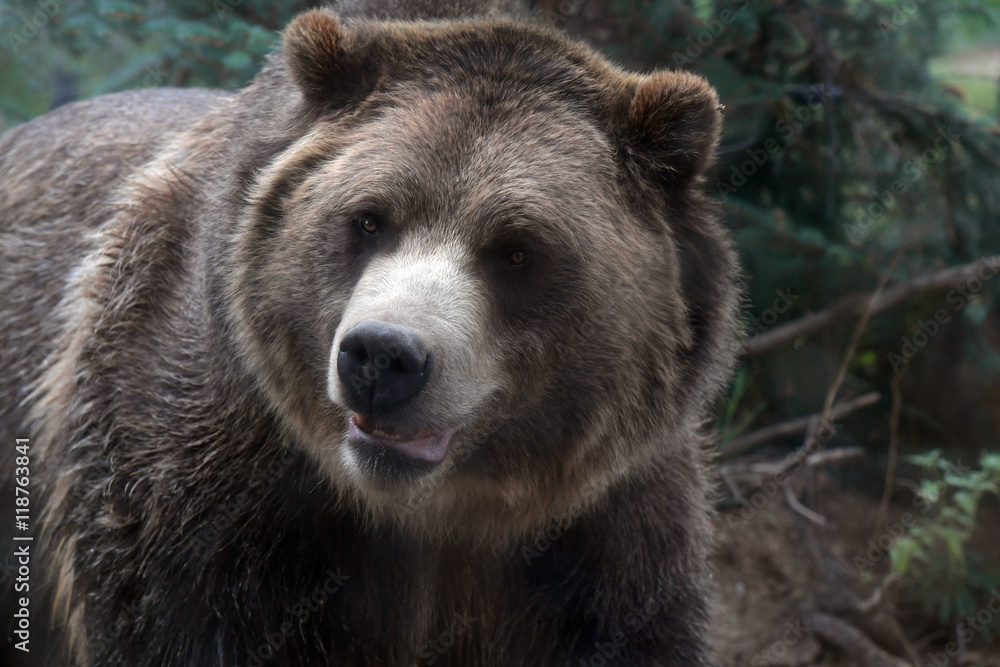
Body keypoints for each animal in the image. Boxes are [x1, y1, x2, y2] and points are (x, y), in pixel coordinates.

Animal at [0, 1, 740, 665]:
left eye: (517, 249)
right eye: (368, 218)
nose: (384, 356)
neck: (428, 513)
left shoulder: (606, 534)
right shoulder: (201, 496)